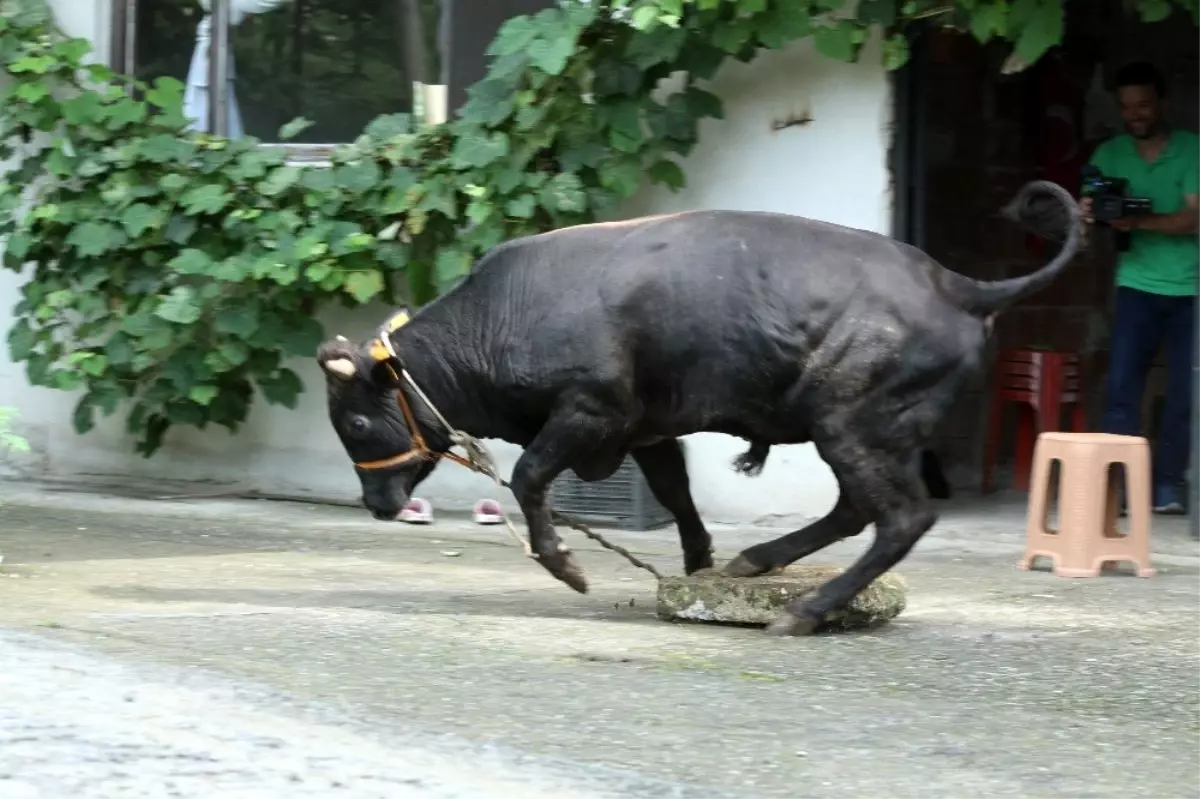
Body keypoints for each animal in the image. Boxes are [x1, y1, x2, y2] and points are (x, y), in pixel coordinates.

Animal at [316, 179, 1080, 633]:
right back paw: (758, 562)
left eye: (355, 420)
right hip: (853, 433)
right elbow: (676, 496)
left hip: (851, 425)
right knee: (857, 511)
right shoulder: (645, 430)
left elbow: (531, 476)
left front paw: (565, 565)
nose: (376, 504)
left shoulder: (588, 413)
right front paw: (697, 569)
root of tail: (958, 285)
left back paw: (804, 610)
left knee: (899, 517)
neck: (505, 314)